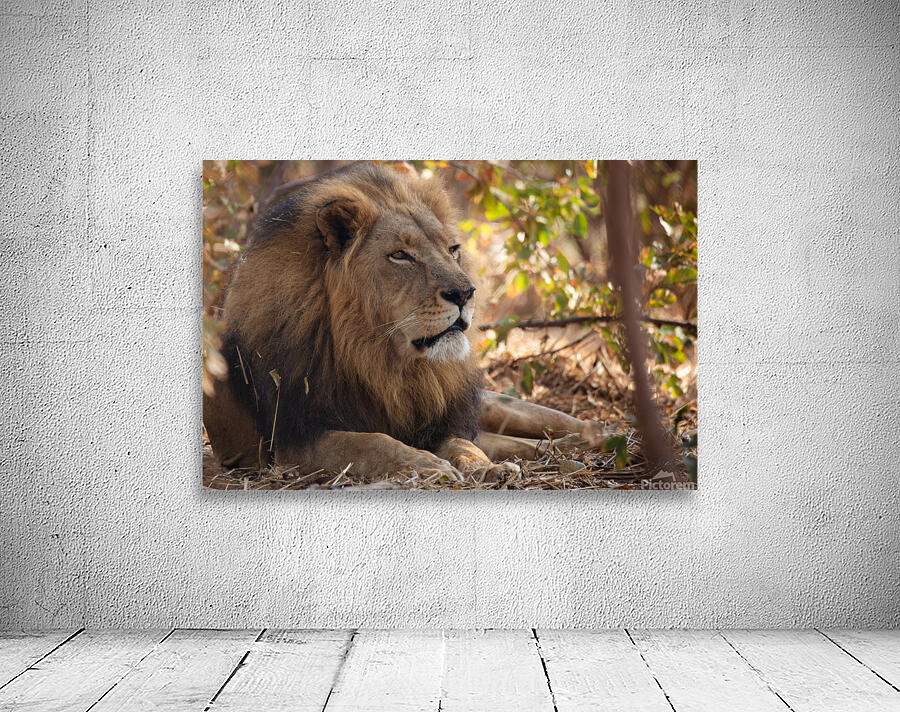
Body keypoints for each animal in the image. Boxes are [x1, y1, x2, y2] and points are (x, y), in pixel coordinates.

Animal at [203, 162, 598, 482]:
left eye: (452, 249)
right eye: (400, 255)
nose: (465, 293)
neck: (381, 359)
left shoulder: (439, 422)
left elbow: (464, 445)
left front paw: (485, 467)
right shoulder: (294, 440)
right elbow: (372, 443)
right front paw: (427, 465)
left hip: (495, 403)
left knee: (555, 427)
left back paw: (598, 438)